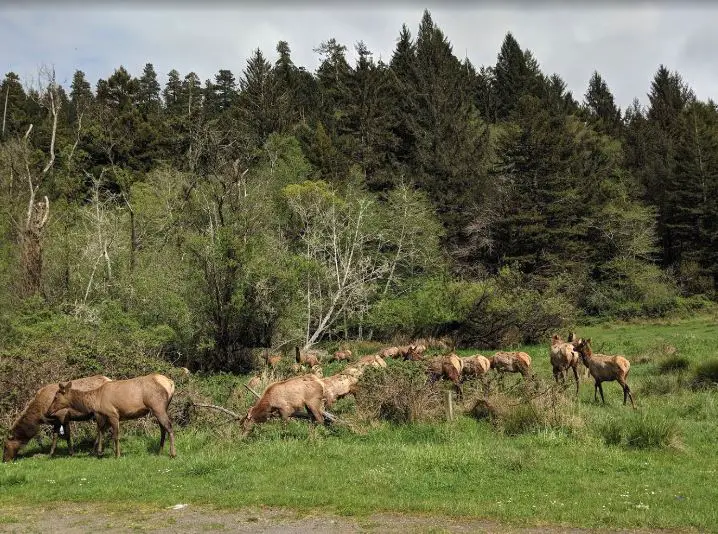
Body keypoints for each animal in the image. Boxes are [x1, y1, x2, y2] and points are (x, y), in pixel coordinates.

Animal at [48, 374, 177, 458]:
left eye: (56, 397)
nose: (49, 411)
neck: (95, 401)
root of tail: (170, 383)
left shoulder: (113, 414)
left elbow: (115, 436)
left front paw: (117, 455)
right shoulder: (105, 416)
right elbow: (101, 431)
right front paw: (99, 452)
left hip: (157, 406)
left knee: (169, 426)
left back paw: (173, 453)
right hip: (162, 408)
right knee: (163, 428)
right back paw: (160, 452)